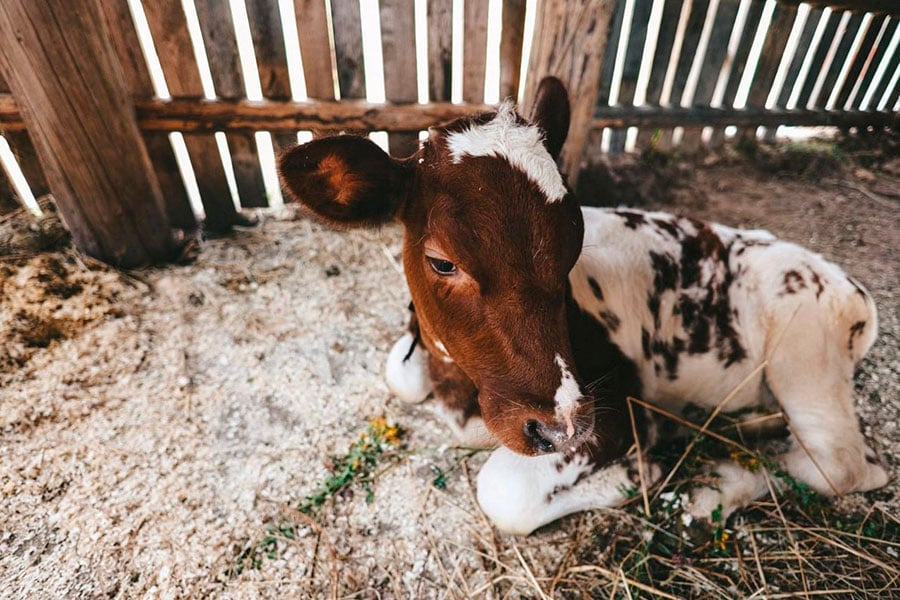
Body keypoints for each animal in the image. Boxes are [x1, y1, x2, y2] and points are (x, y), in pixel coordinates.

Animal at [280, 76, 884, 536]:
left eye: (574, 242)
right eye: (442, 262)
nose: (562, 426)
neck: (462, 395)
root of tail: (848, 285)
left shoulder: (612, 412)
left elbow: (503, 490)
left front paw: (636, 474)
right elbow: (401, 372)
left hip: (805, 349)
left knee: (845, 466)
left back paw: (712, 487)